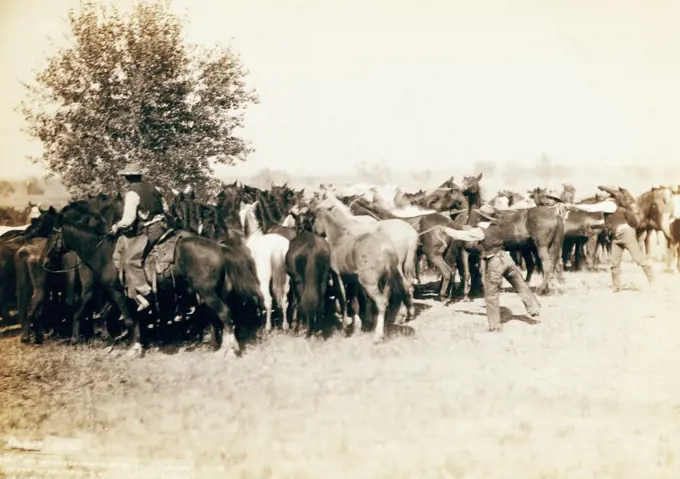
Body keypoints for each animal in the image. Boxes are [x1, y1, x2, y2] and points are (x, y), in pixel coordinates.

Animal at [239, 201, 290, 332]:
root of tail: (277, 247)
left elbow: (260, 301)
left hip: (264, 280)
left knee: (268, 300)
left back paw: (267, 327)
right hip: (286, 280)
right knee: (284, 299)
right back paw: (285, 325)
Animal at [312, 208, 410, 344]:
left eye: (314, 220)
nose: (313, 232)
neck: (339, 238)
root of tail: (386, 249)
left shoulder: (338, 276)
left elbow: (343, 300)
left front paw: (344, 328)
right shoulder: (353, 281)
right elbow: (354, 302)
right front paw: (358, 326)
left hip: (369, 283)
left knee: (381, 302)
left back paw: (378, 336)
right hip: (387, 282)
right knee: (386, 301)